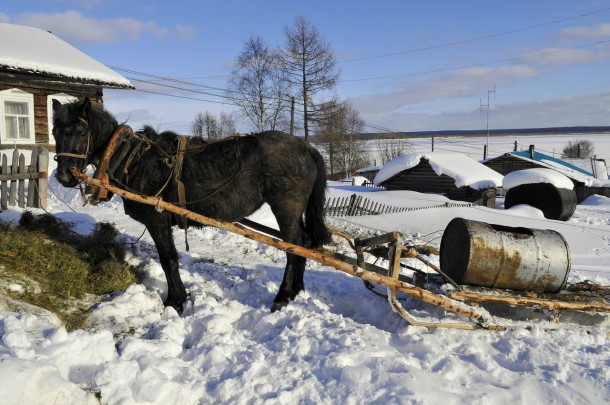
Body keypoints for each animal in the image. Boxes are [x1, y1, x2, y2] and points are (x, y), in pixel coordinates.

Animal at [51, 98, 328, 312]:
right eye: (55, 133)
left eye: (82, 132)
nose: (64, 176)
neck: (133, 160)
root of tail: (307, 147)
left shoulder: (158, 220)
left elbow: (168, 259)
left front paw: (175, 301)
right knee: (303, 245)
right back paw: (295, 291)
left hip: (285, 207)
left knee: (294, 247)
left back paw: (282, 296)